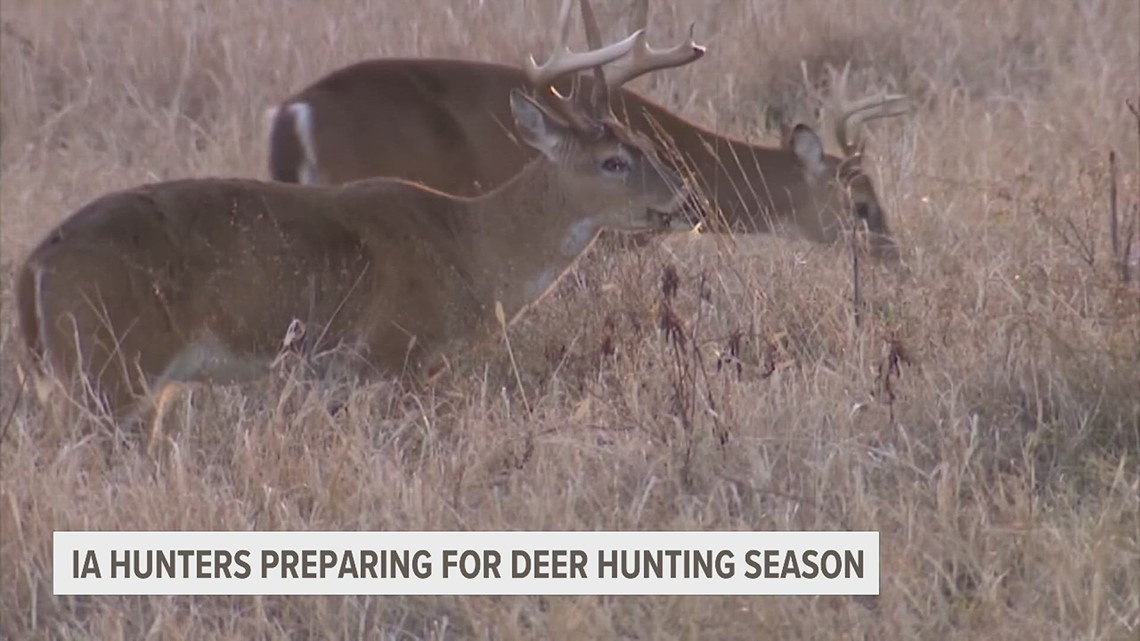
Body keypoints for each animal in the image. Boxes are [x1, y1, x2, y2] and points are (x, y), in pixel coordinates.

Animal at [14, 0, 695, 447]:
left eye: (644, 144)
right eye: (614, 161)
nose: (687, 202)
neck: (472, 247)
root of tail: (38, 260)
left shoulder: (335, 376)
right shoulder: (397, 353)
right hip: (111, 359)